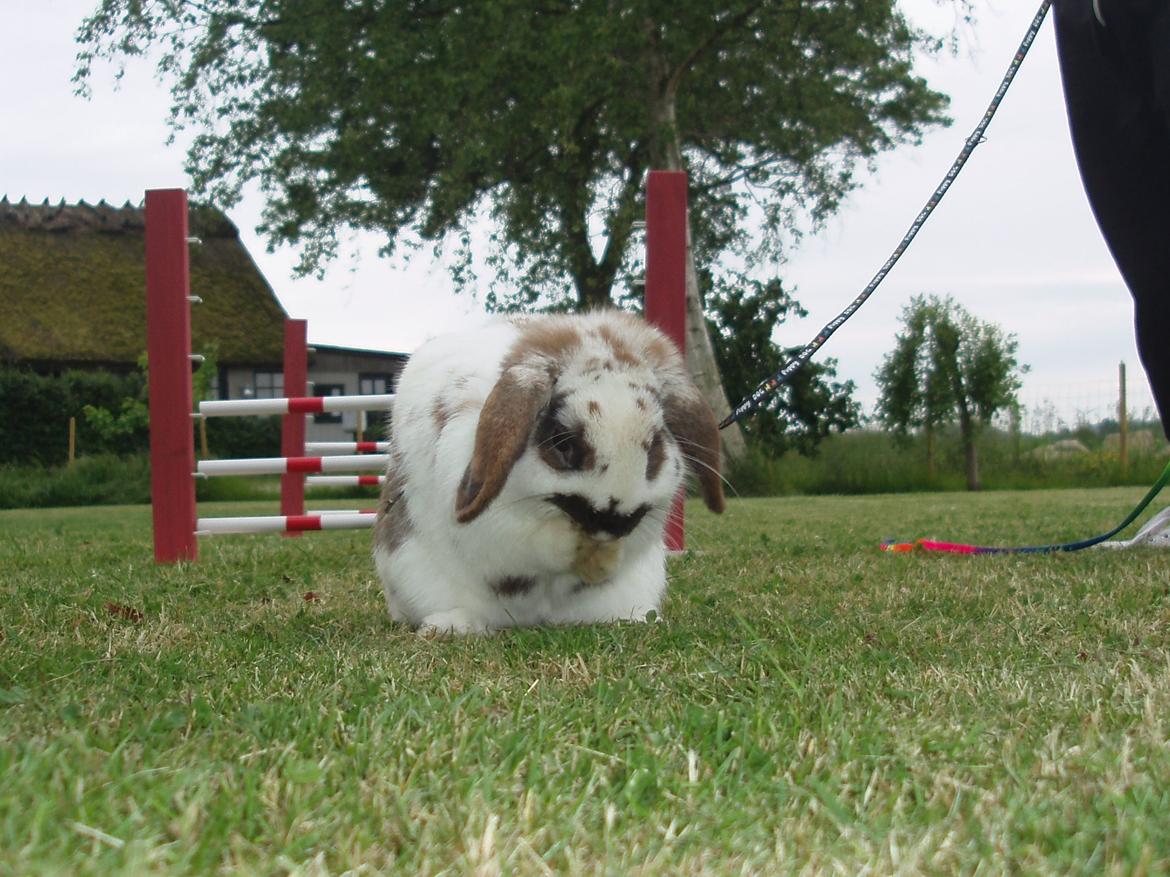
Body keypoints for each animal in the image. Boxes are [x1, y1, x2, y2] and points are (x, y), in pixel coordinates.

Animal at [372, 313, 720, 636]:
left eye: (656, 442)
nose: (613, 523)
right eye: (563, 441)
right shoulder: (502, 529)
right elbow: (540, 544)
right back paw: (450, 626)